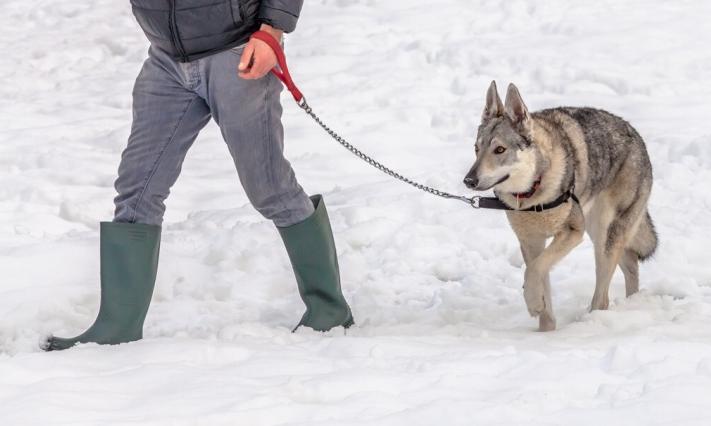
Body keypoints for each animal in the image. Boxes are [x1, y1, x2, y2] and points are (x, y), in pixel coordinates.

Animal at [464, 81, 660, 332]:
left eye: (499, 149)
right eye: (476, 149)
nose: (469, 180)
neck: (532, 194)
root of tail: (636, 136)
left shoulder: (572, 232)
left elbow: (534, 270)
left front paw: (533, 304)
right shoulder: (531, 242)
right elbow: (539, 279)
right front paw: (545, 332)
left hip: (603, 234)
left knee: (603, 295)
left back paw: (592, 321)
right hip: (599, 231)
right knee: (631, 264)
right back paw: (631, 303)